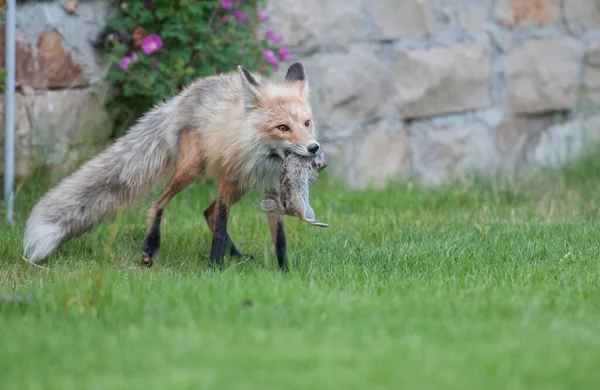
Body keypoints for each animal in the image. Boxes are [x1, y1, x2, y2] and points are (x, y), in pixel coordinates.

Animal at [23, 63, 318, 272]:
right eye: (283, 127)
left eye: (306, 123)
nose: (314, 148)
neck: (263, 155)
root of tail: (182, 97)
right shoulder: (226, 177)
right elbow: (221, 229)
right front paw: (213, 269)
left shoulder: (271, 189)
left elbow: (279, 238)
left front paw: (285, 272)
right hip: (192, 170)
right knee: (159, 202)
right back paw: (150, 247)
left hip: (241, 186)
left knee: (207, 212)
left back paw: (239, 257)